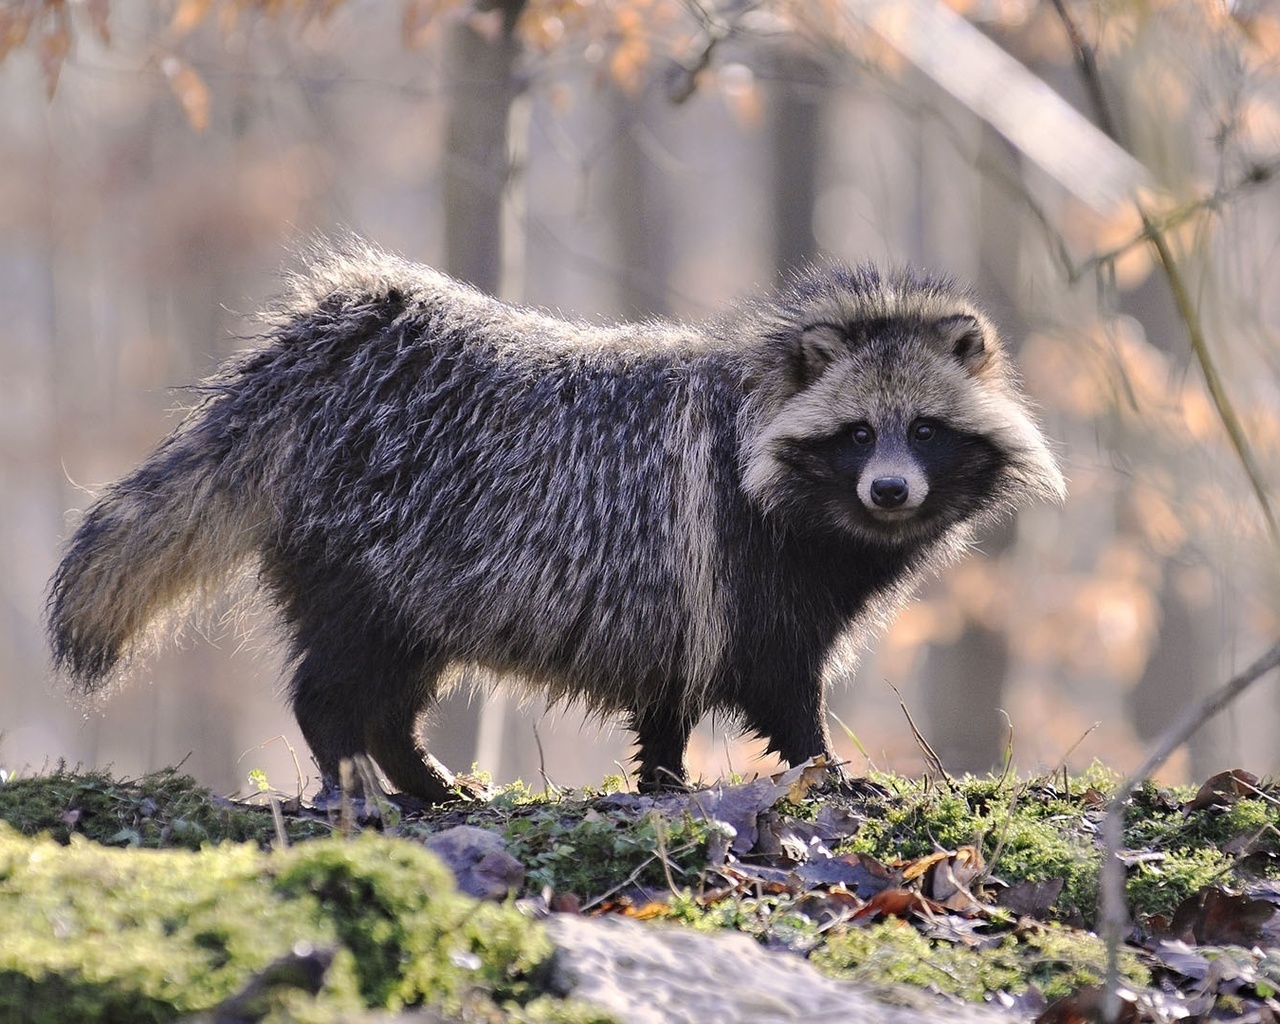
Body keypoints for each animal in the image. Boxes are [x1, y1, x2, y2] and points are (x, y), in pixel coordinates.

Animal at [45, 240, 1064, 798]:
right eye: (857, 434)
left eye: (924, 429)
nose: (890, 492)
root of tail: (324, 353)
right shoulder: (743, 569)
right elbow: (782, 687)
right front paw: (826, 772)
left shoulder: (680, 596)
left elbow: (669, 699)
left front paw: (662, 781)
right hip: (372, 556)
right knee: (335, 684)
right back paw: (356, 771)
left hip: (419, 586)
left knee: (392, 694)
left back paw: (414, 772)